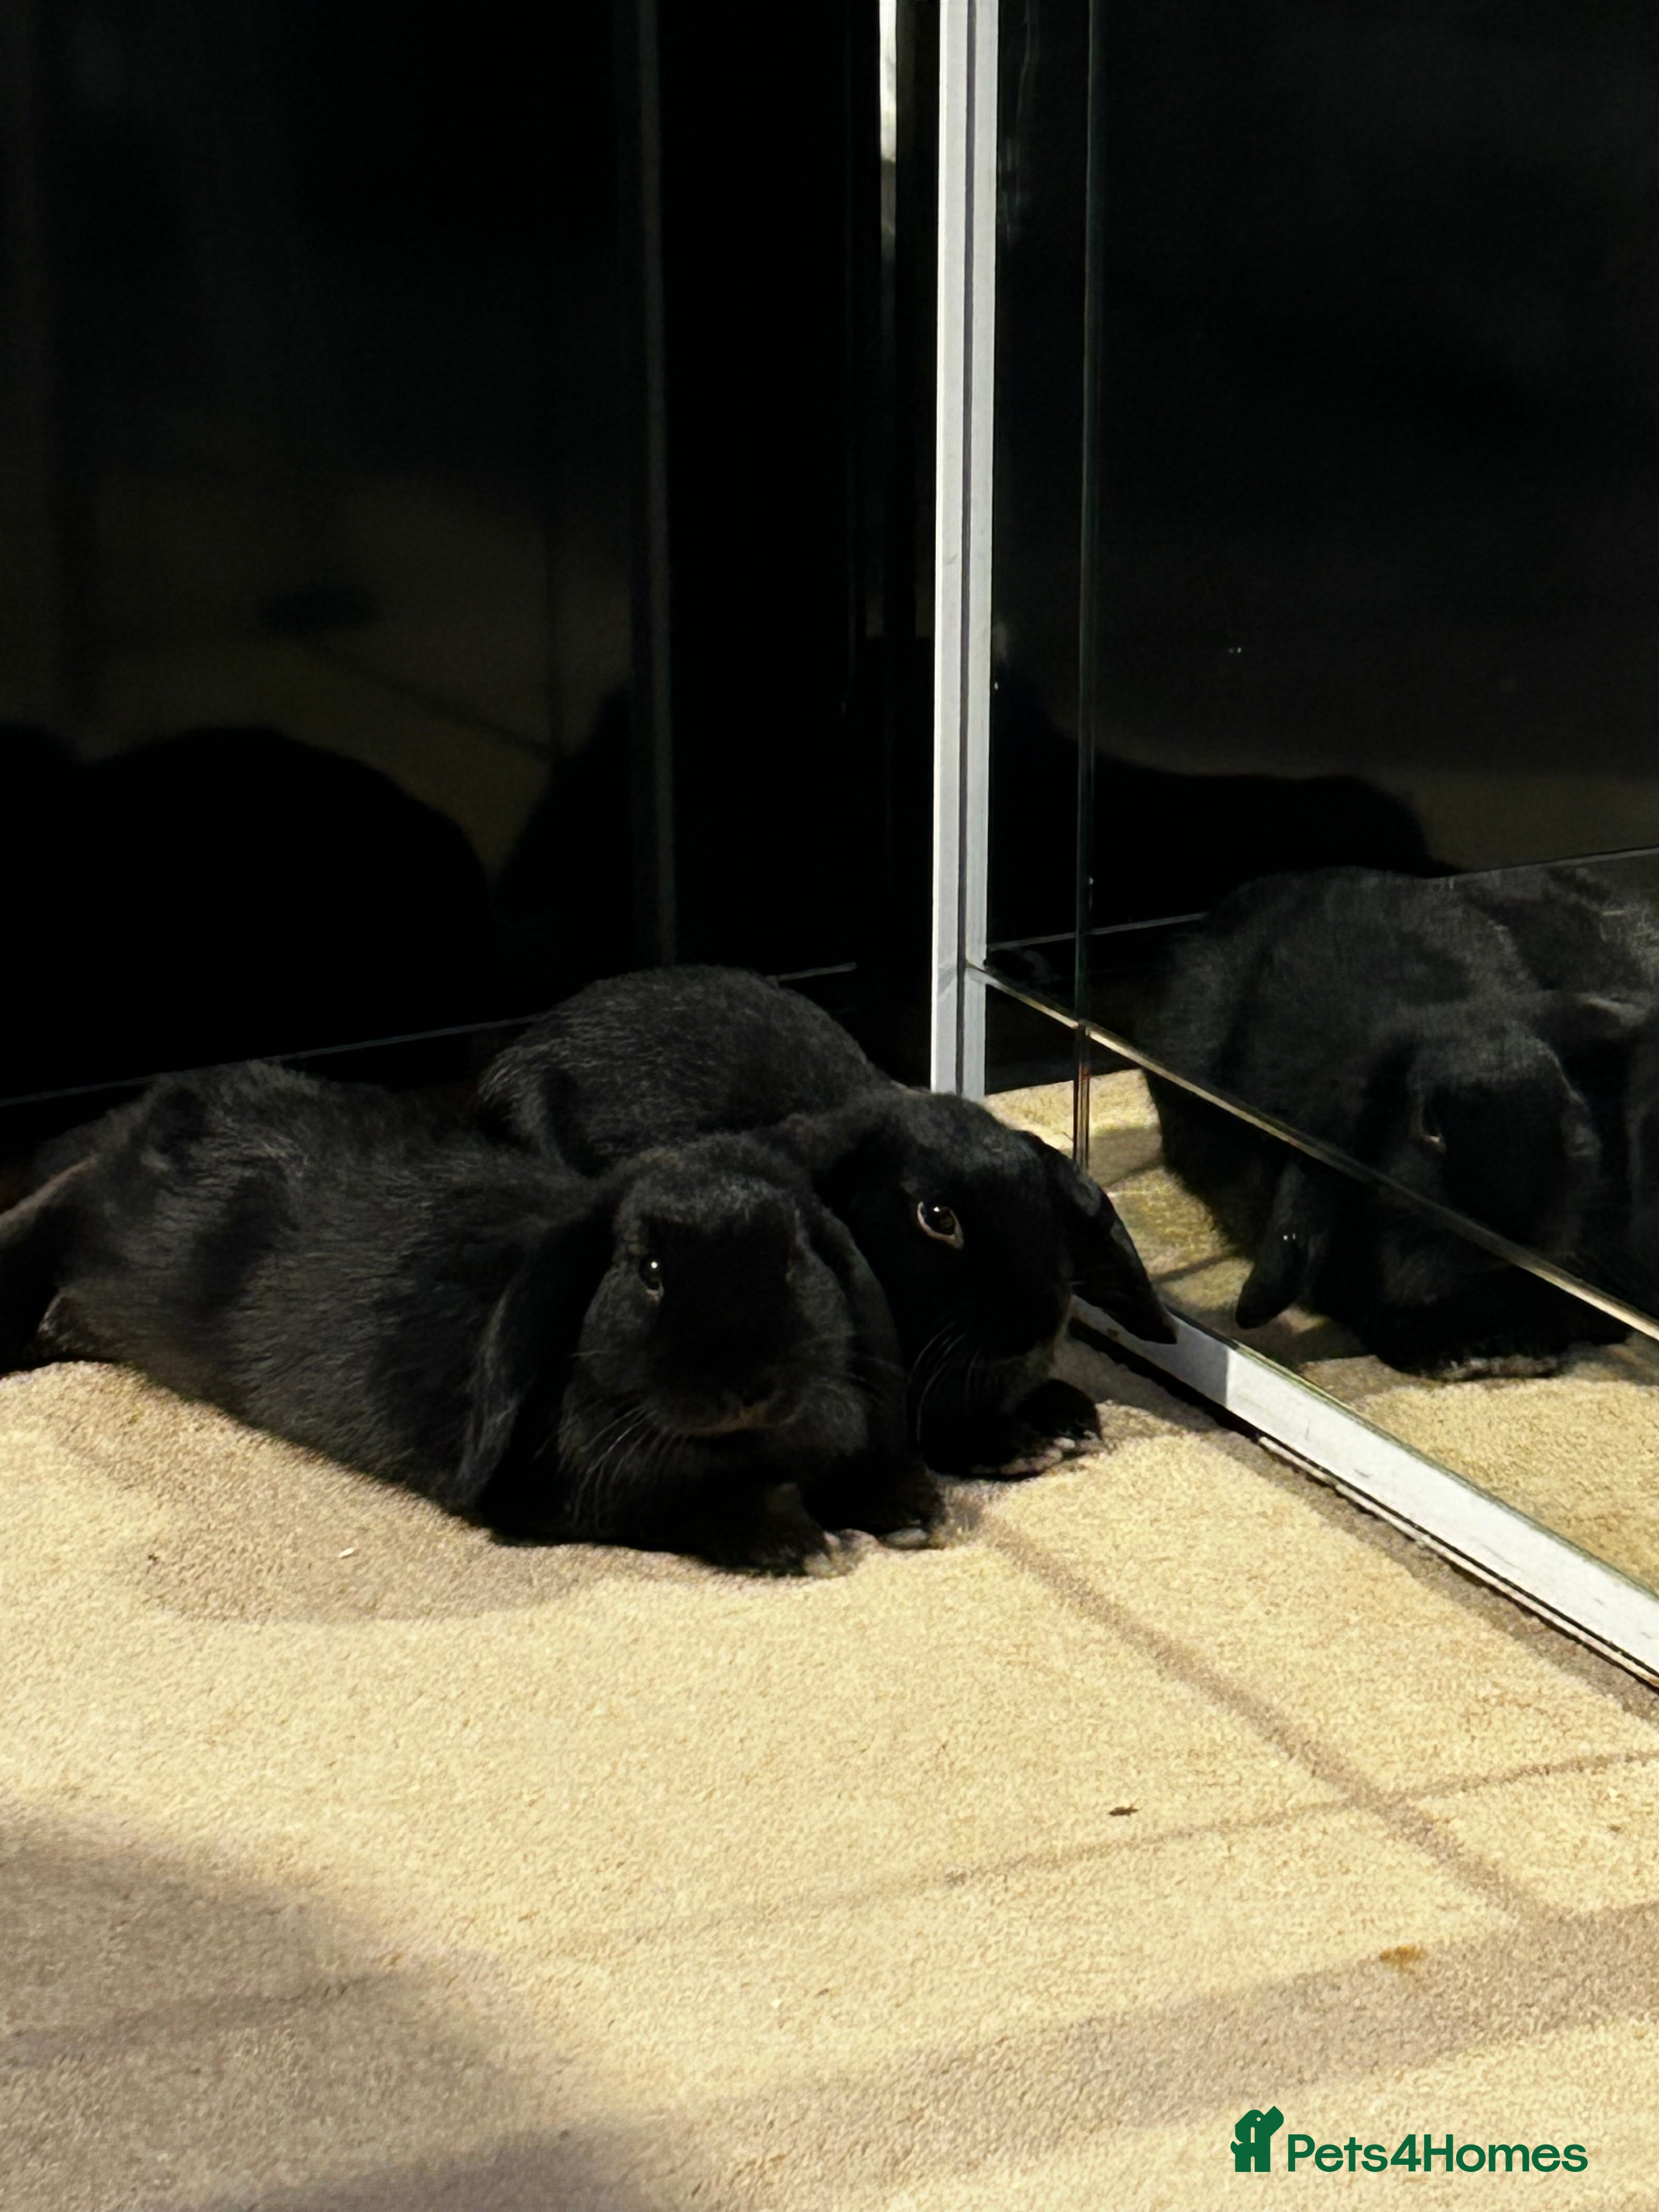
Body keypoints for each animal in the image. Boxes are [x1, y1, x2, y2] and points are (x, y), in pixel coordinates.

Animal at [0, 1062, 940, 1573]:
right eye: (650, 1272)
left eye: (793, 1258)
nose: (750, 1386)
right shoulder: (575, 1492)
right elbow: (692, 1499)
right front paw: (800, 1541)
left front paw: (910, 1505)